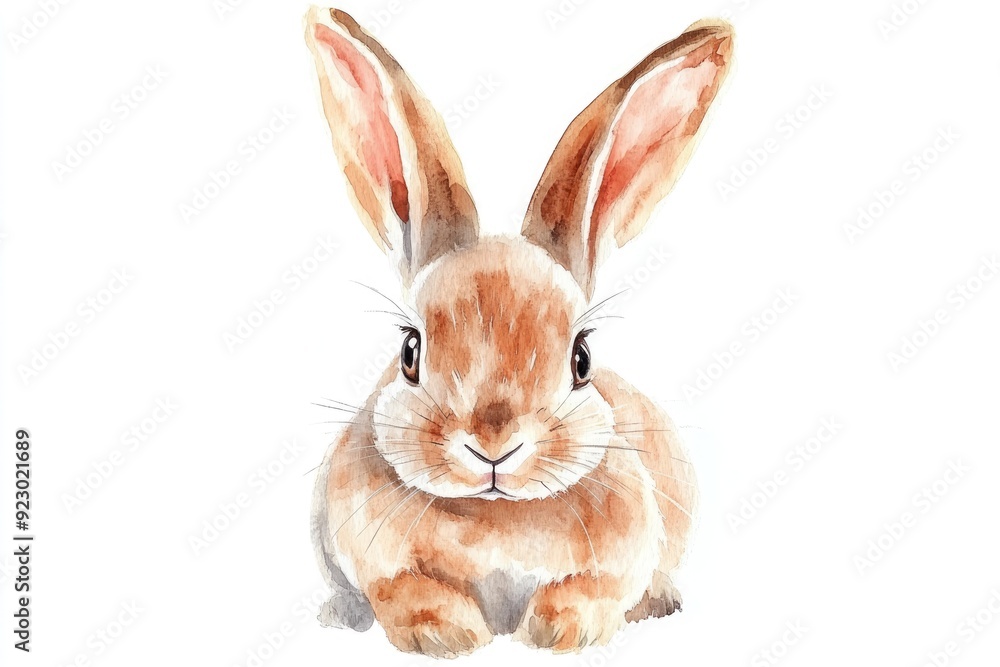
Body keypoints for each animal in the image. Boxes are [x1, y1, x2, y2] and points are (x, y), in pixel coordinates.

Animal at [304, 5, 733, 658]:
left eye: (582, 358)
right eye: (410, 350)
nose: (493, 444)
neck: (493, 519)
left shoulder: (622, 557)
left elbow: (594, 588)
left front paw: (557, 631)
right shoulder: (372, 558)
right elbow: (403, 589)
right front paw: (447, 635)